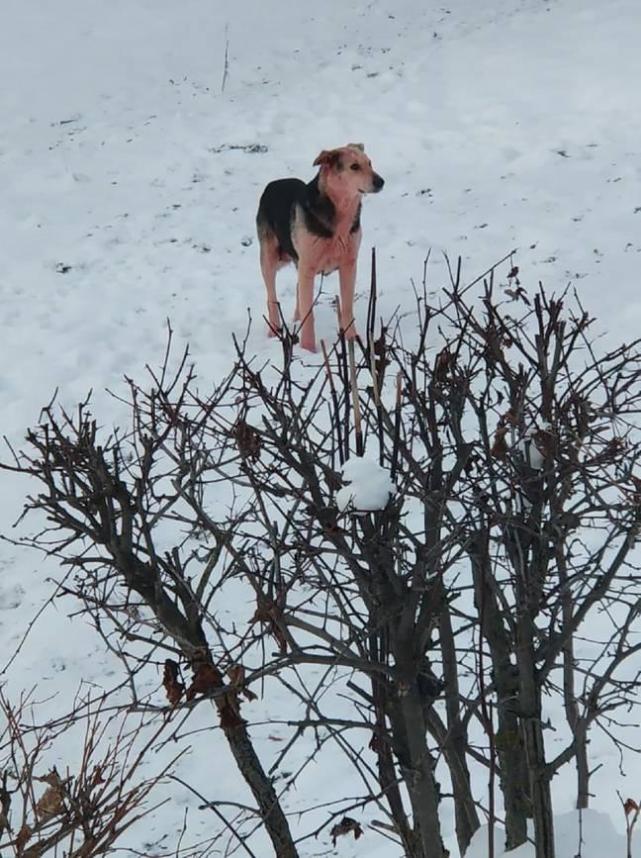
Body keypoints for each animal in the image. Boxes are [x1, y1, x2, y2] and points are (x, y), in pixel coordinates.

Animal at [256, 144, 384, 352]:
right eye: (354, 167)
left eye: (369, 163)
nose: (380, 181)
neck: (340, 210)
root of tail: (274, 183)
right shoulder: (308, 266)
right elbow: (309, 313)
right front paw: (308, 349)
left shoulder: (349, 264)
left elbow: (347, 307)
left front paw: (353, 341)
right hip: (270, 257)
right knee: (272, 296)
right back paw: (274, 330)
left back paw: (295, 320)